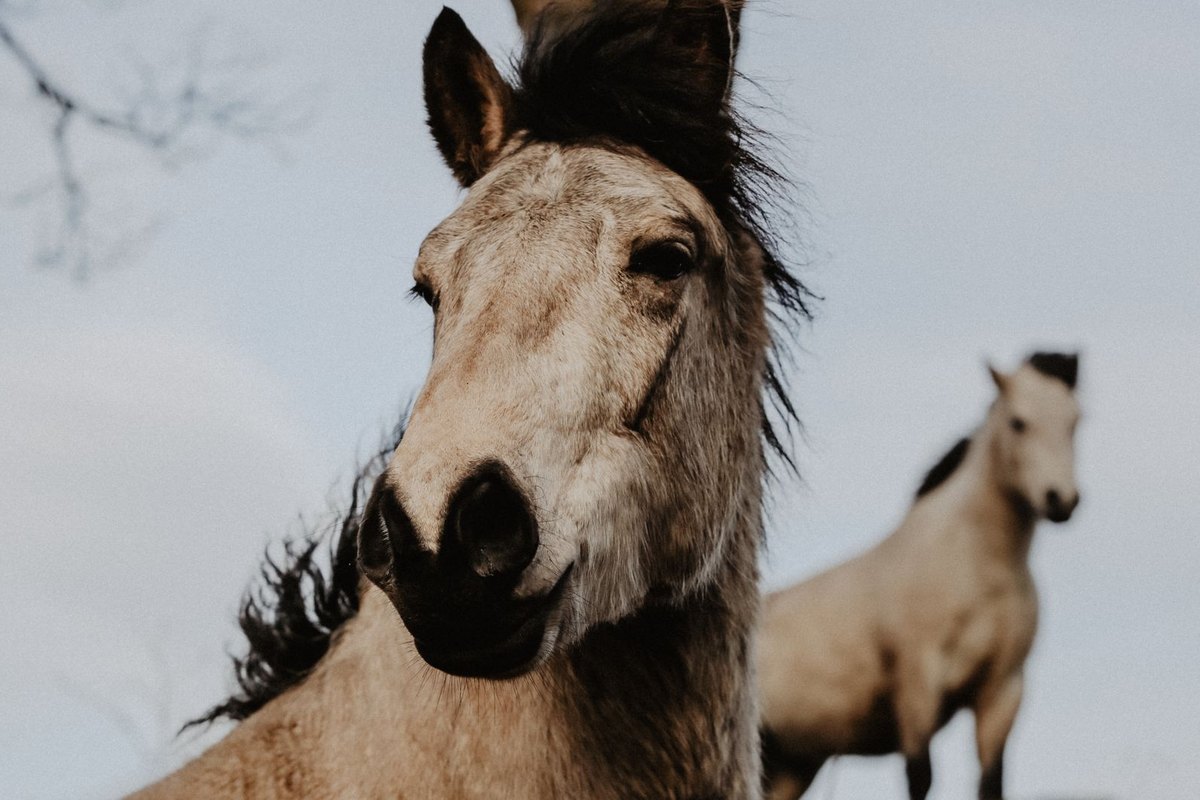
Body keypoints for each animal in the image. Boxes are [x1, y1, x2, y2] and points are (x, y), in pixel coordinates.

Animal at [758, 352, 1082, 800]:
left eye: (1075, 421)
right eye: (1018, 422)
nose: (1060, 500)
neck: (976, 569)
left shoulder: (1002, 692)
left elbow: (991, 784)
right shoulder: (918, 686)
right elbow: (920, 777)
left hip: (792, 765)